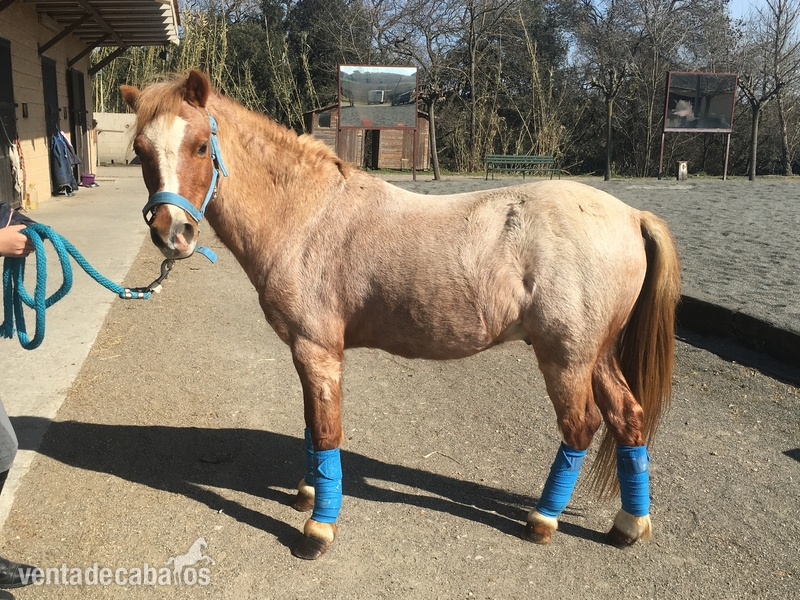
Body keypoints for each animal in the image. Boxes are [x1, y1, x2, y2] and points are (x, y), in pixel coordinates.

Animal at [120, 70, 681, 561]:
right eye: (141, 151)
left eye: (199, 146)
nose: (172, 234)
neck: (308, 216)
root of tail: (632, 215)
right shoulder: (308, 353)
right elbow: (311, 424)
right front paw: (308, 492)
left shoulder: (317, 349)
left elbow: (326, 430)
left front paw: (318, 530)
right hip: (597, 354)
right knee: (628, 419)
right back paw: (628, 525)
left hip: (566, 358)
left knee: (580, 427)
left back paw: (543, 520)